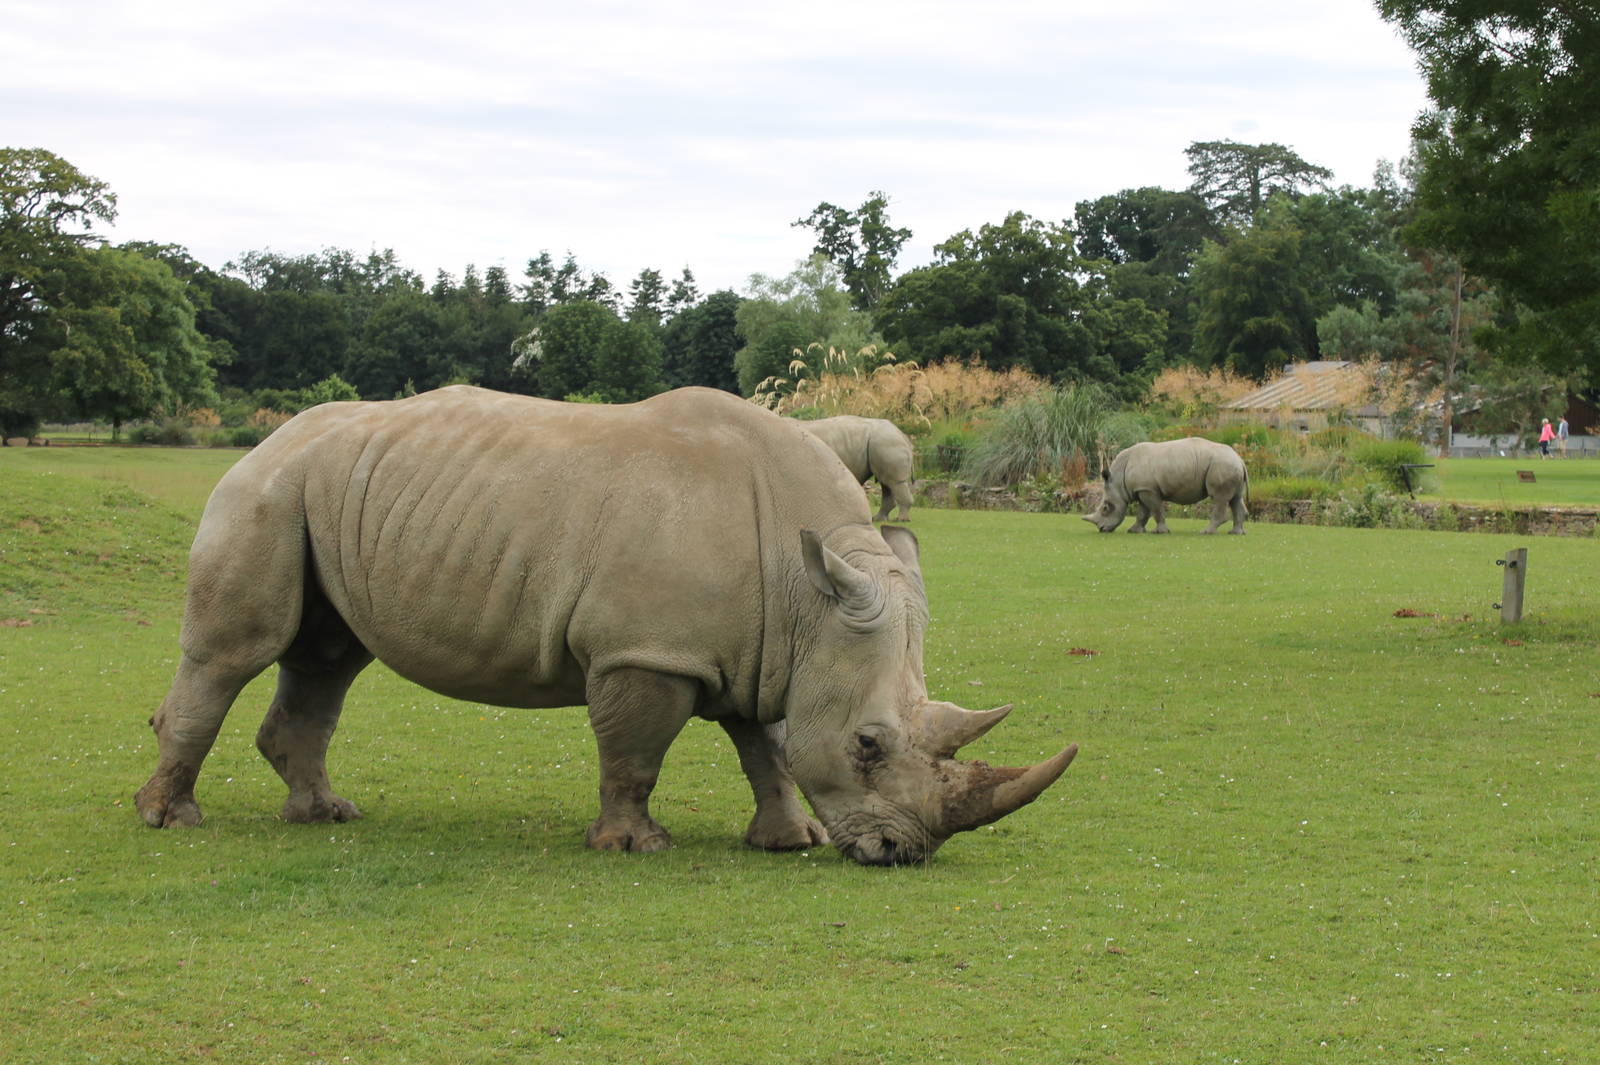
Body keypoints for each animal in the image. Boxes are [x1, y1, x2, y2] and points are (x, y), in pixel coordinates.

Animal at [135, 386, 1076, 865]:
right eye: (870, 745)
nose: (900, 851)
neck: (809, 594)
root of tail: (268, 435)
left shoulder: (768, 646)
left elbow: (767, 743)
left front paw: (791, 840)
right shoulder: (646, 651)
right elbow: (637, 751)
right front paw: (634, 844)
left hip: (327, 492)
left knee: (329, 656)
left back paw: (325, 815)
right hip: (265, 490)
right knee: (237, 652)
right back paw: (172, 822)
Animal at [1084, 437, 1248, 534]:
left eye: (1105, 508)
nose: (1101, 529)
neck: (1118, 479)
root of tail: (1240, 459)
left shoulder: (1148, 490)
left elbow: (1156, 510)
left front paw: (1160, 532)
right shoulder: (1142, 488)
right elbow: (1142, 513)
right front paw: (1134, 531)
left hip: (1222, 465)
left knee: (1219, 498)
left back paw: (1205, 532)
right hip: (1229, 465)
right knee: (1235, 499)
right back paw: (1236, 533)